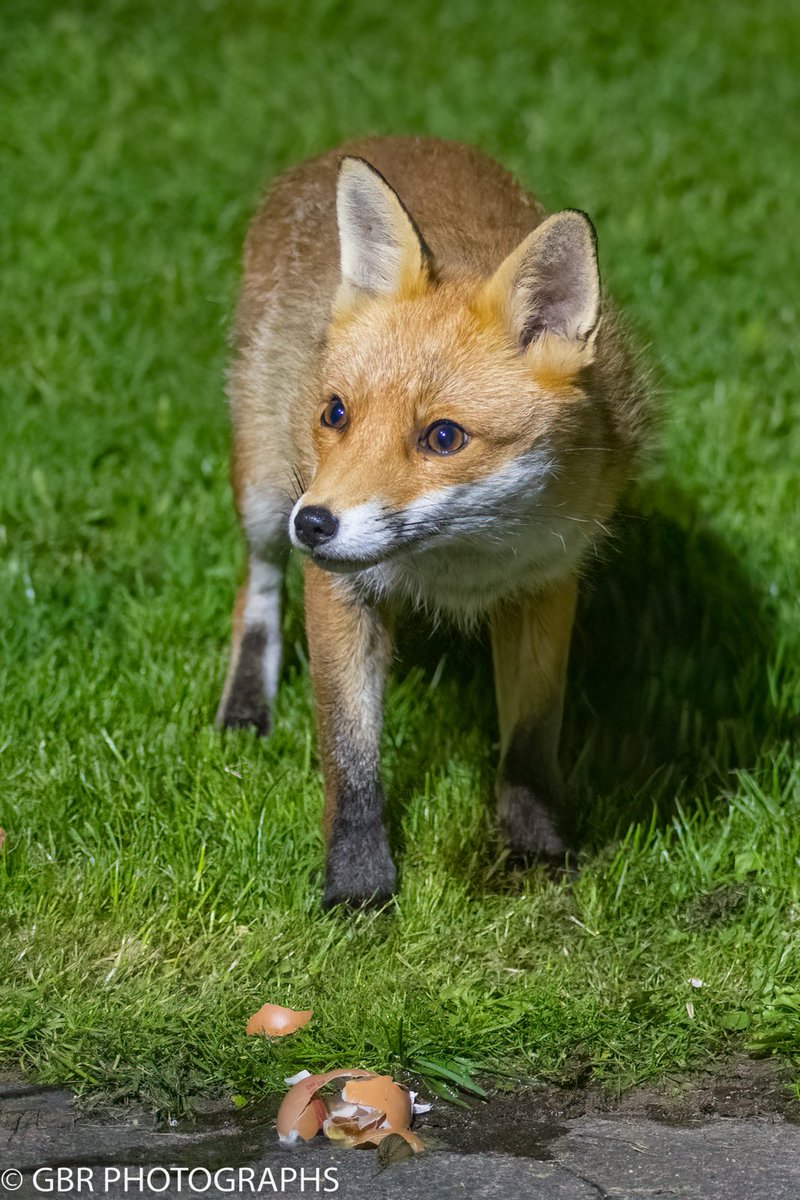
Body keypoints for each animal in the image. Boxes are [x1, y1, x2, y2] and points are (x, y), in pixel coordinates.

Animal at [216, 136, 650, 909]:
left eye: (443, 438)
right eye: (335, 413)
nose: (315, 524)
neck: (462, 562)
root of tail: (371, 137)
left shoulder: (546, 583)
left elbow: (531, 743)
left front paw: (537, 850)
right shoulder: (338, 588)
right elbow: (350, 753)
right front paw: (359, 889)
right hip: (264, 490)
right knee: (256, 587)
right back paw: (245, 703)